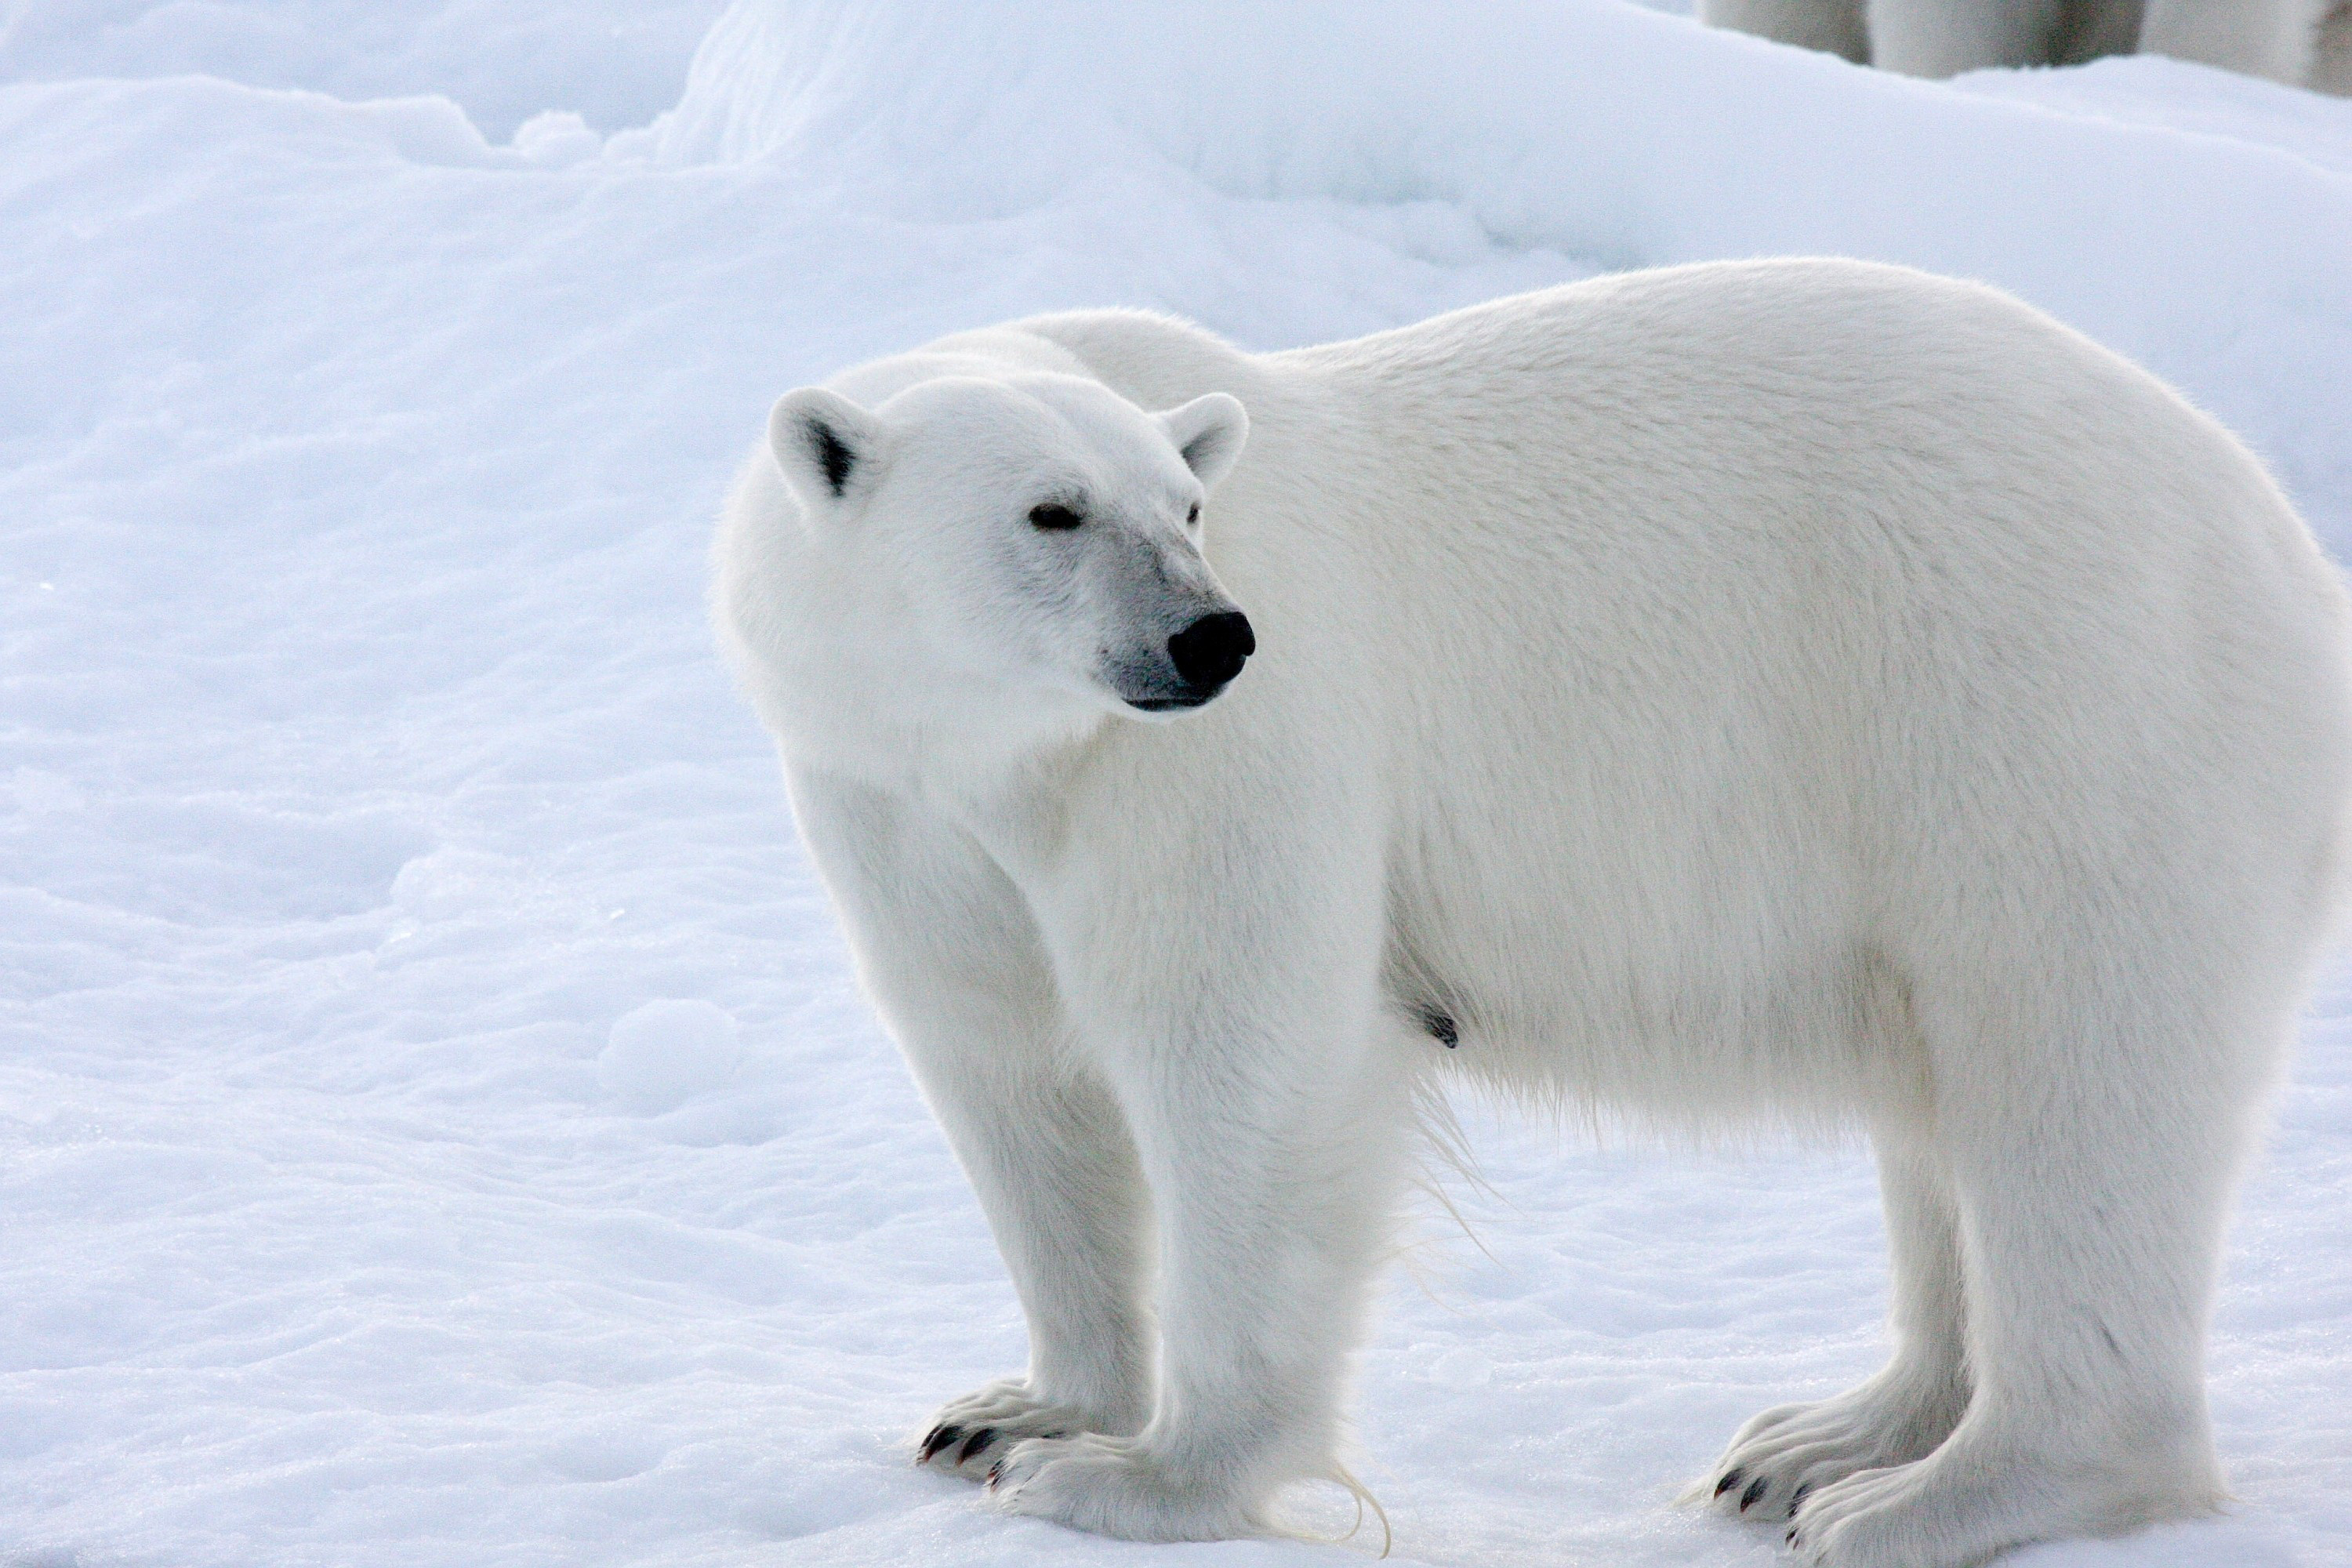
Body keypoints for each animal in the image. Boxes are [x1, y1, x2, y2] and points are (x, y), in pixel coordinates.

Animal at [715, 260, 2352, 1568]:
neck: (1012, 748)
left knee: (2073, 1087)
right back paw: (1819, 1441)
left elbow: (1242, 1059)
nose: (1212, 635)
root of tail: (2288, 553)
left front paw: (1134, 1478)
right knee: (1947, 1099)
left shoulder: (1229, 761)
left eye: (1187, 506)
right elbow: (1007, 1069)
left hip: (2055, 718)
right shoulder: (898, 797)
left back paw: (1931, 1496)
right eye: (1052, 511)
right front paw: (1009, 1414)